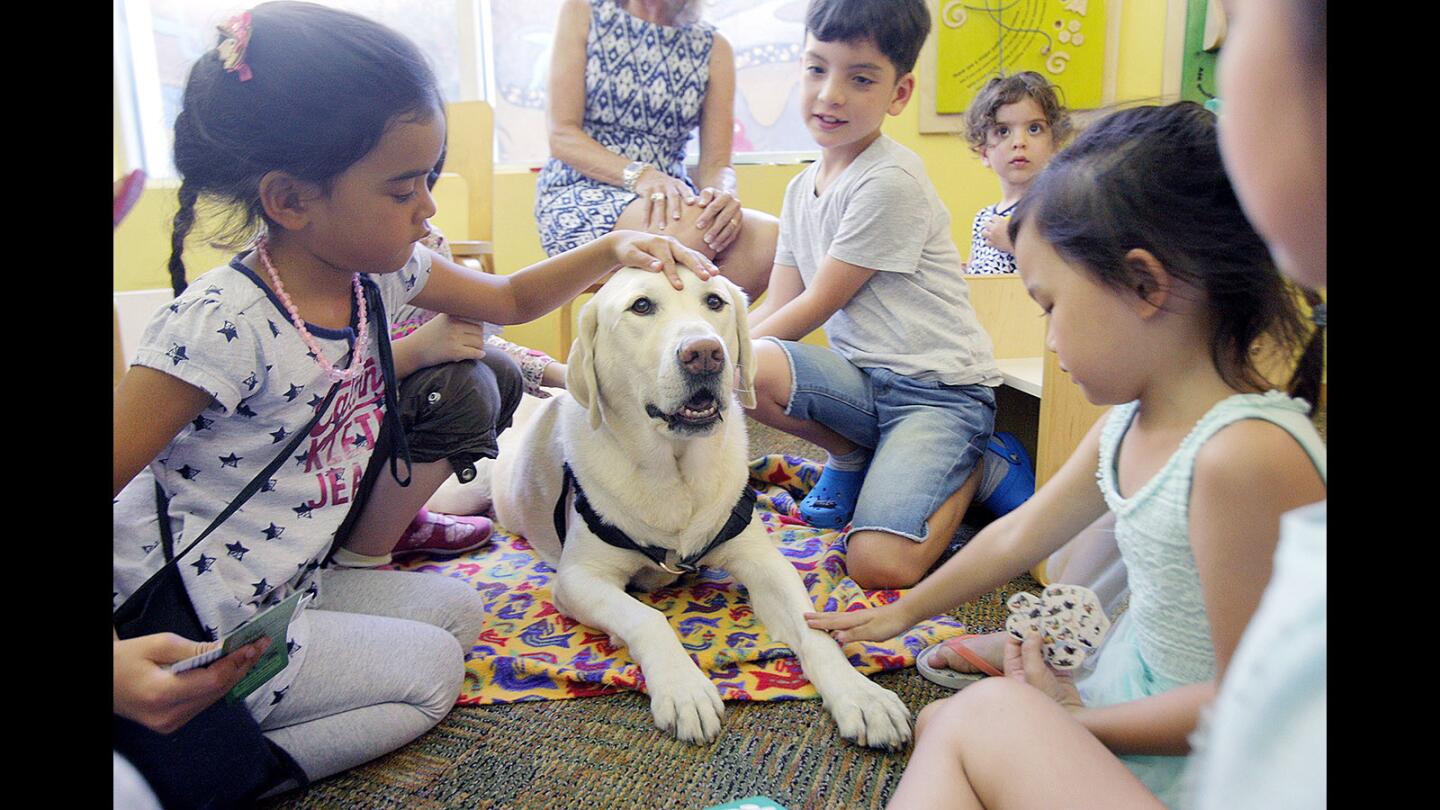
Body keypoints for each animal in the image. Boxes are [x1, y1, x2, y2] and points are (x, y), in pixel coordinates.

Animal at [489, 268, 904, 749]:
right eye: (641, 306)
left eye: (715, 302)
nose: (705, 353)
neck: (675, 471)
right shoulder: (578, 579)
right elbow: (647, 618)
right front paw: (683, 688)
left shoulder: (763, 562)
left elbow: (812, 626)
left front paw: (862, 695)